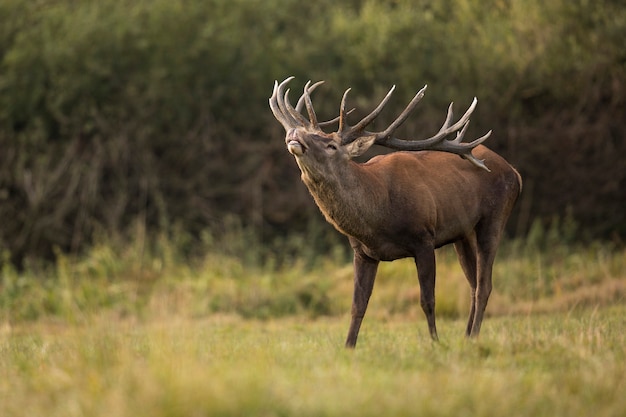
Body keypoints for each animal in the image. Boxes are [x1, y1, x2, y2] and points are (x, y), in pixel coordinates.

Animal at [268, 76, 520, 346]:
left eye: (331, 145)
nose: (295, 133)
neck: (378, 216)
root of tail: (515, 173)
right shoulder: (362, 252)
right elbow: (358, 306)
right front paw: (348, 347)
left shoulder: (424, 238)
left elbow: (428, 300)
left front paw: (435, 342)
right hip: (462, 233)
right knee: (473, 283)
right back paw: (467, 335)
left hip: (495, 215)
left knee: (484, 285)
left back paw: (473, 337)